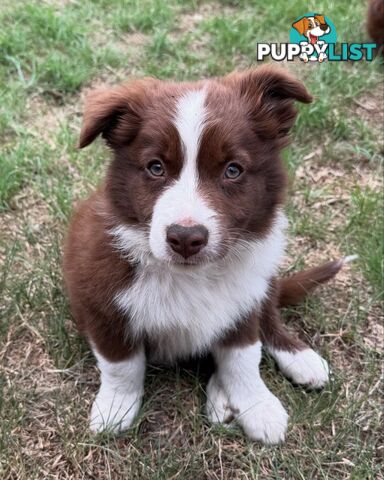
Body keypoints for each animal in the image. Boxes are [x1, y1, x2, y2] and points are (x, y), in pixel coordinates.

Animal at [63, 65, 344, 444]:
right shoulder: (102, 301)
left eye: (232, 170)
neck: (192, 276)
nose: (185, 238)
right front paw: (115, 408)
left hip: (264, 279)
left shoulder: (244, 301)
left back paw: (296, 360)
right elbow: (122, 365)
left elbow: (243, 357)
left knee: (270, 318)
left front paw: (259, 406)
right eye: (155, 167)